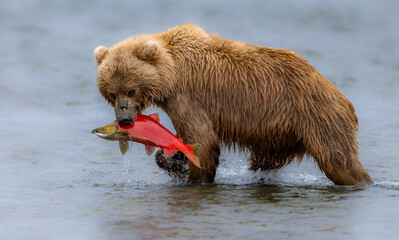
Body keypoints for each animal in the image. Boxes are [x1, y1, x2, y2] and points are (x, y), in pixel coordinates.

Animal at [94, 23, 376, 186]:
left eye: (131, 89)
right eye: (111, 93)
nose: (125, 120)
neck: (170, 72)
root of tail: (340, 94)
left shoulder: (187, 96)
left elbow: (203, 139)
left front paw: (194, 174)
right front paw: (174, 161)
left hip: (319, 117)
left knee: (340, 160)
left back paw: (362, 180)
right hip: (279, 135)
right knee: (265, 161)